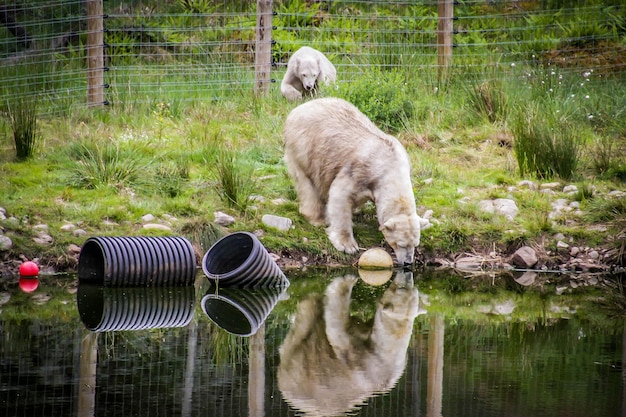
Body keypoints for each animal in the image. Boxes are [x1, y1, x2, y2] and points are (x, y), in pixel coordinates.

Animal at [278, 270, 424, 416]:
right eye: (402, 288)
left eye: (412, 288)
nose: (407, 275)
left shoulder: (359, 356)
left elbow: (338, 326)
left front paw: (345, 282)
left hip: (299, 369)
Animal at [284, 96, 424, 264]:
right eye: (401, 244)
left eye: (415, 244)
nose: (408, 262)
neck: (391, 164)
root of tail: (298, 109)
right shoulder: (358, 172)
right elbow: (340, 195)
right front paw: (347, 245)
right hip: (304, 147)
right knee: (307, 182)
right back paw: (317, 217)